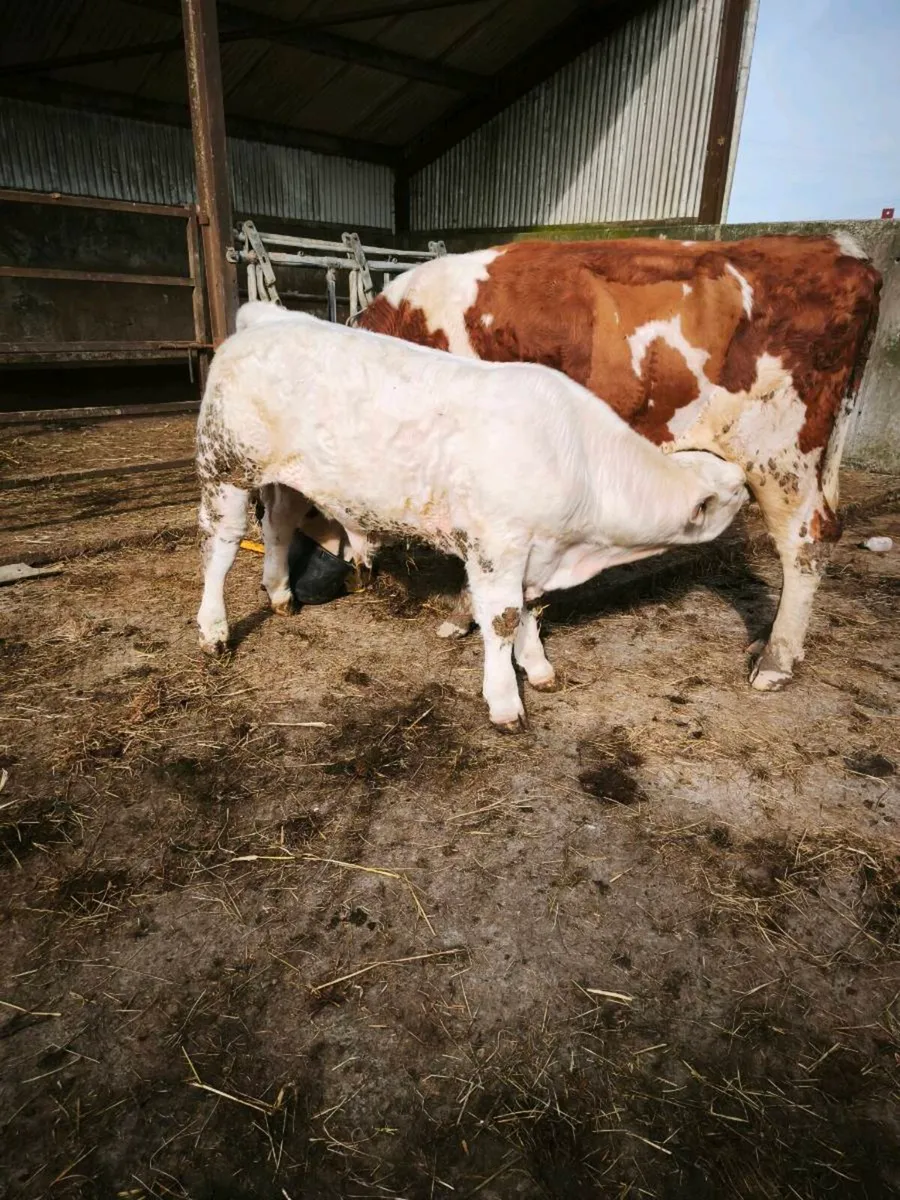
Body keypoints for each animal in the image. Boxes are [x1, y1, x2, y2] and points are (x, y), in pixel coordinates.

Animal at [196, 303, 747, 730]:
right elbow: (502, 618)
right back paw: (214, 629)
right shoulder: (497, 545)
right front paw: (504, 700)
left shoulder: (533, 551)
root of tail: (270, 317)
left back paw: (280, 593)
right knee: (222, 547)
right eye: (734, 489)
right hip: (224, 467)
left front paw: (537, 667)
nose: (748, 484)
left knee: (278, 525)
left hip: (287, 478)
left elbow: (529, 609)